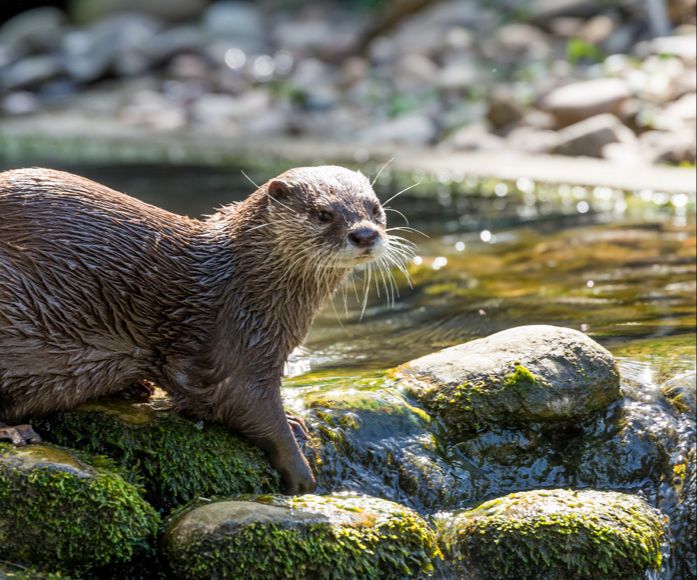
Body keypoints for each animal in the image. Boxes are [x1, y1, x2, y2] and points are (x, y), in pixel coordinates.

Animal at [0, 166, 394, 493]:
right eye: (323, 213)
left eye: (375, 209)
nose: (364, 234)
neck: (245, 280)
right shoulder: (237, 341)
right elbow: (251, 409)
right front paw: (302, 476)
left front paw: (296, 421)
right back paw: (16, 431)